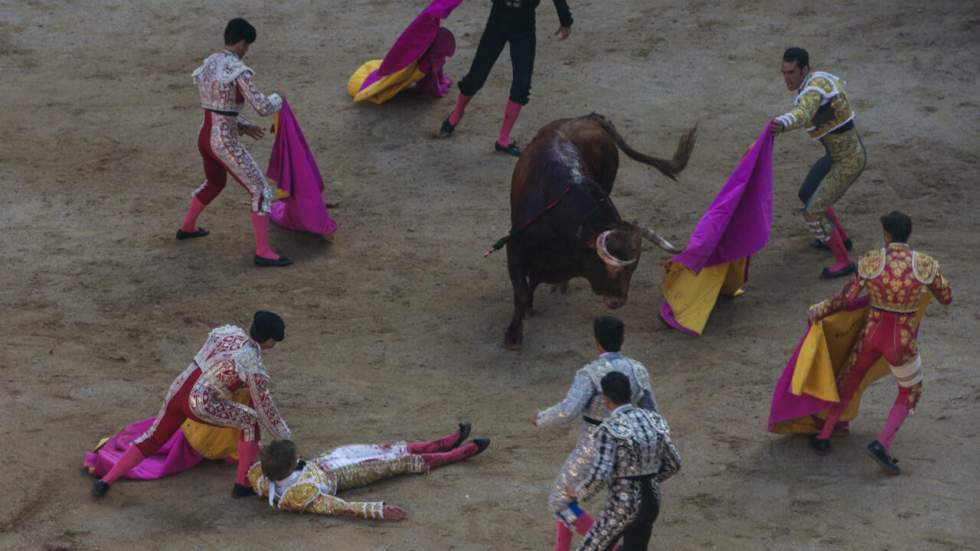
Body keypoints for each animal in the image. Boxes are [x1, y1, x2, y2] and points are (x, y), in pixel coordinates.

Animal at [502, 114, 692, 352]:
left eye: (634, 267)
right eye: (610, 267)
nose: (618, 301)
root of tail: (588, 118)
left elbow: (534, 280)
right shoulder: (515, 247)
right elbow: (521, 291)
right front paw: (513, 336)